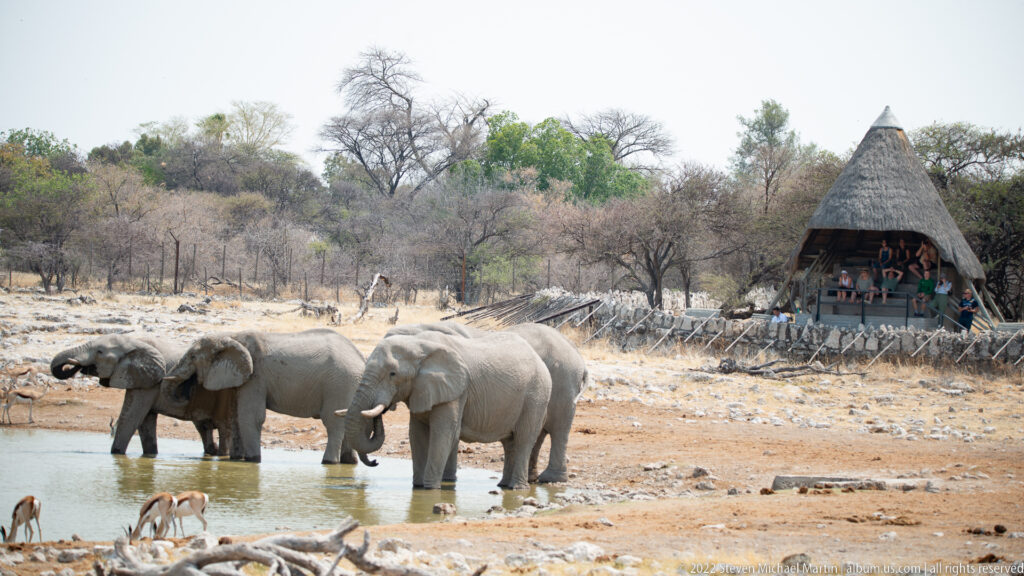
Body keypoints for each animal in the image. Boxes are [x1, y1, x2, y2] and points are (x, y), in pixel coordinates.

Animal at [50, 334, 236, 457]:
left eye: (100, 352)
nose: (76, 366)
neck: (134, 341)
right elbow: (145, 422)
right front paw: (150, 456)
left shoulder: (150, 381)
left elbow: (131, 418)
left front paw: (116, 454)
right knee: (203, 428)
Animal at [163, 328, 374, 466]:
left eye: (192, 357)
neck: (229, 336)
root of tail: (360, 358)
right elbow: (236, 417)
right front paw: (236, 460)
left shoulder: (256, 376)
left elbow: (251, 417)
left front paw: (252, 461)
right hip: (348, 384)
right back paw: (348, 463)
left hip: (339, 382)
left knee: (332, 422)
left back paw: (329, 462)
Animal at [342, 331, 552, 490]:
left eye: (392, 374)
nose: (375, 462)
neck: (418, 345)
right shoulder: (421, 389)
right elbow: (416, 434)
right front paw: (418, 488)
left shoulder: (456, 392)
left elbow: (444, 433)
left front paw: (430, 489)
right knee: (509, 442)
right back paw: (503, 486)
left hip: (536, 395)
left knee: (524, 439)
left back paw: (517, 488)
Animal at [385, 321, 587, 483]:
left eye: (394, 374)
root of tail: (576, 352)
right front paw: (448, 481)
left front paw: (447, 480)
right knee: (537, 433)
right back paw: (531, 479)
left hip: (561, 382)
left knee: (557, 430)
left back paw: (550, 479)